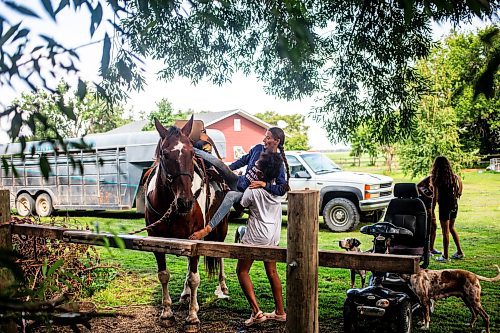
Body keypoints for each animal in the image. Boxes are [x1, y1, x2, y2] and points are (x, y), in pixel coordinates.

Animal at [145, 116, 229, 330]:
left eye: (192, 154)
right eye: (164, 154)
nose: (186, 202)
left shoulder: (195, 238)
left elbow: (194, 278)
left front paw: (192, 317)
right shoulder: (156, 241)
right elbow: (164, 275)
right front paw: (167, 313)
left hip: (220, 229)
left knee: (220, 255)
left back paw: (222, 286)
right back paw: (185, 294)